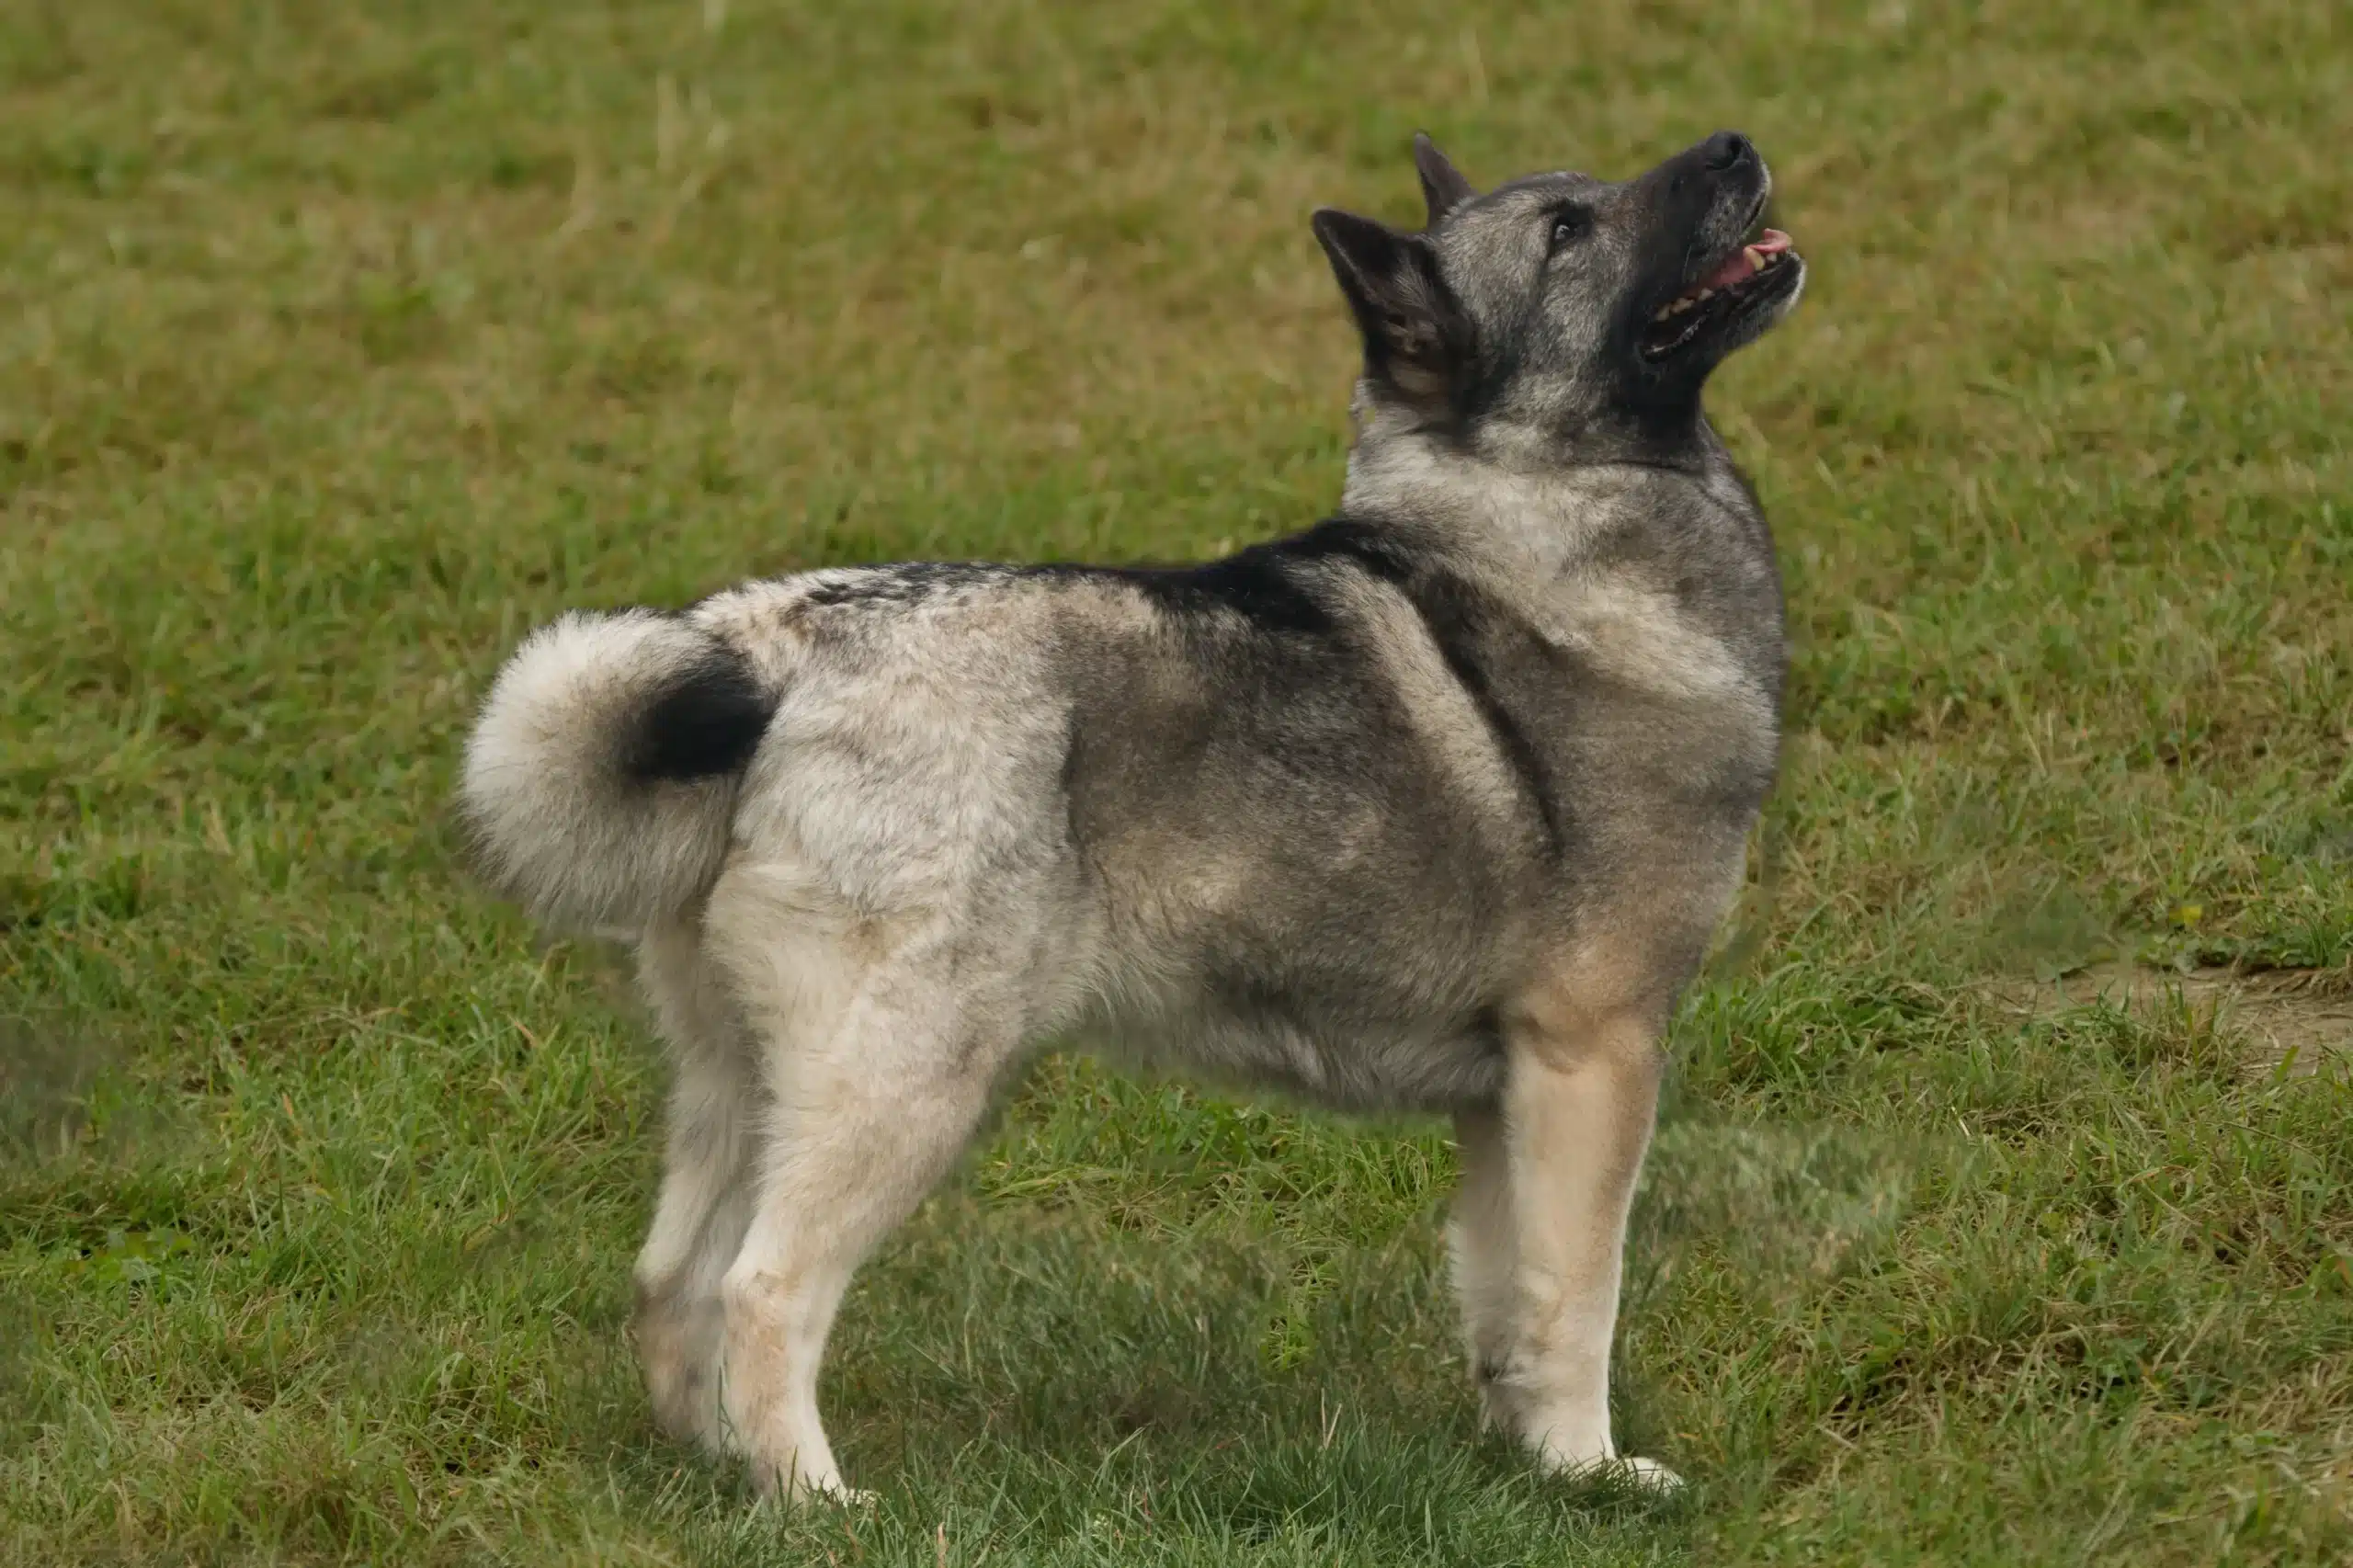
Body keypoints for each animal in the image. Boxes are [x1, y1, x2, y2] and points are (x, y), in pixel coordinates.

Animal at [468, 128, 1807, 1497]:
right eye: (1569, 233)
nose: (1734, 145)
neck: (1535, 520)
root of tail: (768, 647)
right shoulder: (1593, 1053)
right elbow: (1581, 1292)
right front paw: (1594, 1471)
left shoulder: (1506, 1094)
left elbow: (1509, 1295)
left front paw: (1531, 1461)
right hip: (901, 1078)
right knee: (762, 1285)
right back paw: (816, 1499)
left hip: (746, 1078)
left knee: (672, 1279)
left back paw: (721, 1470)